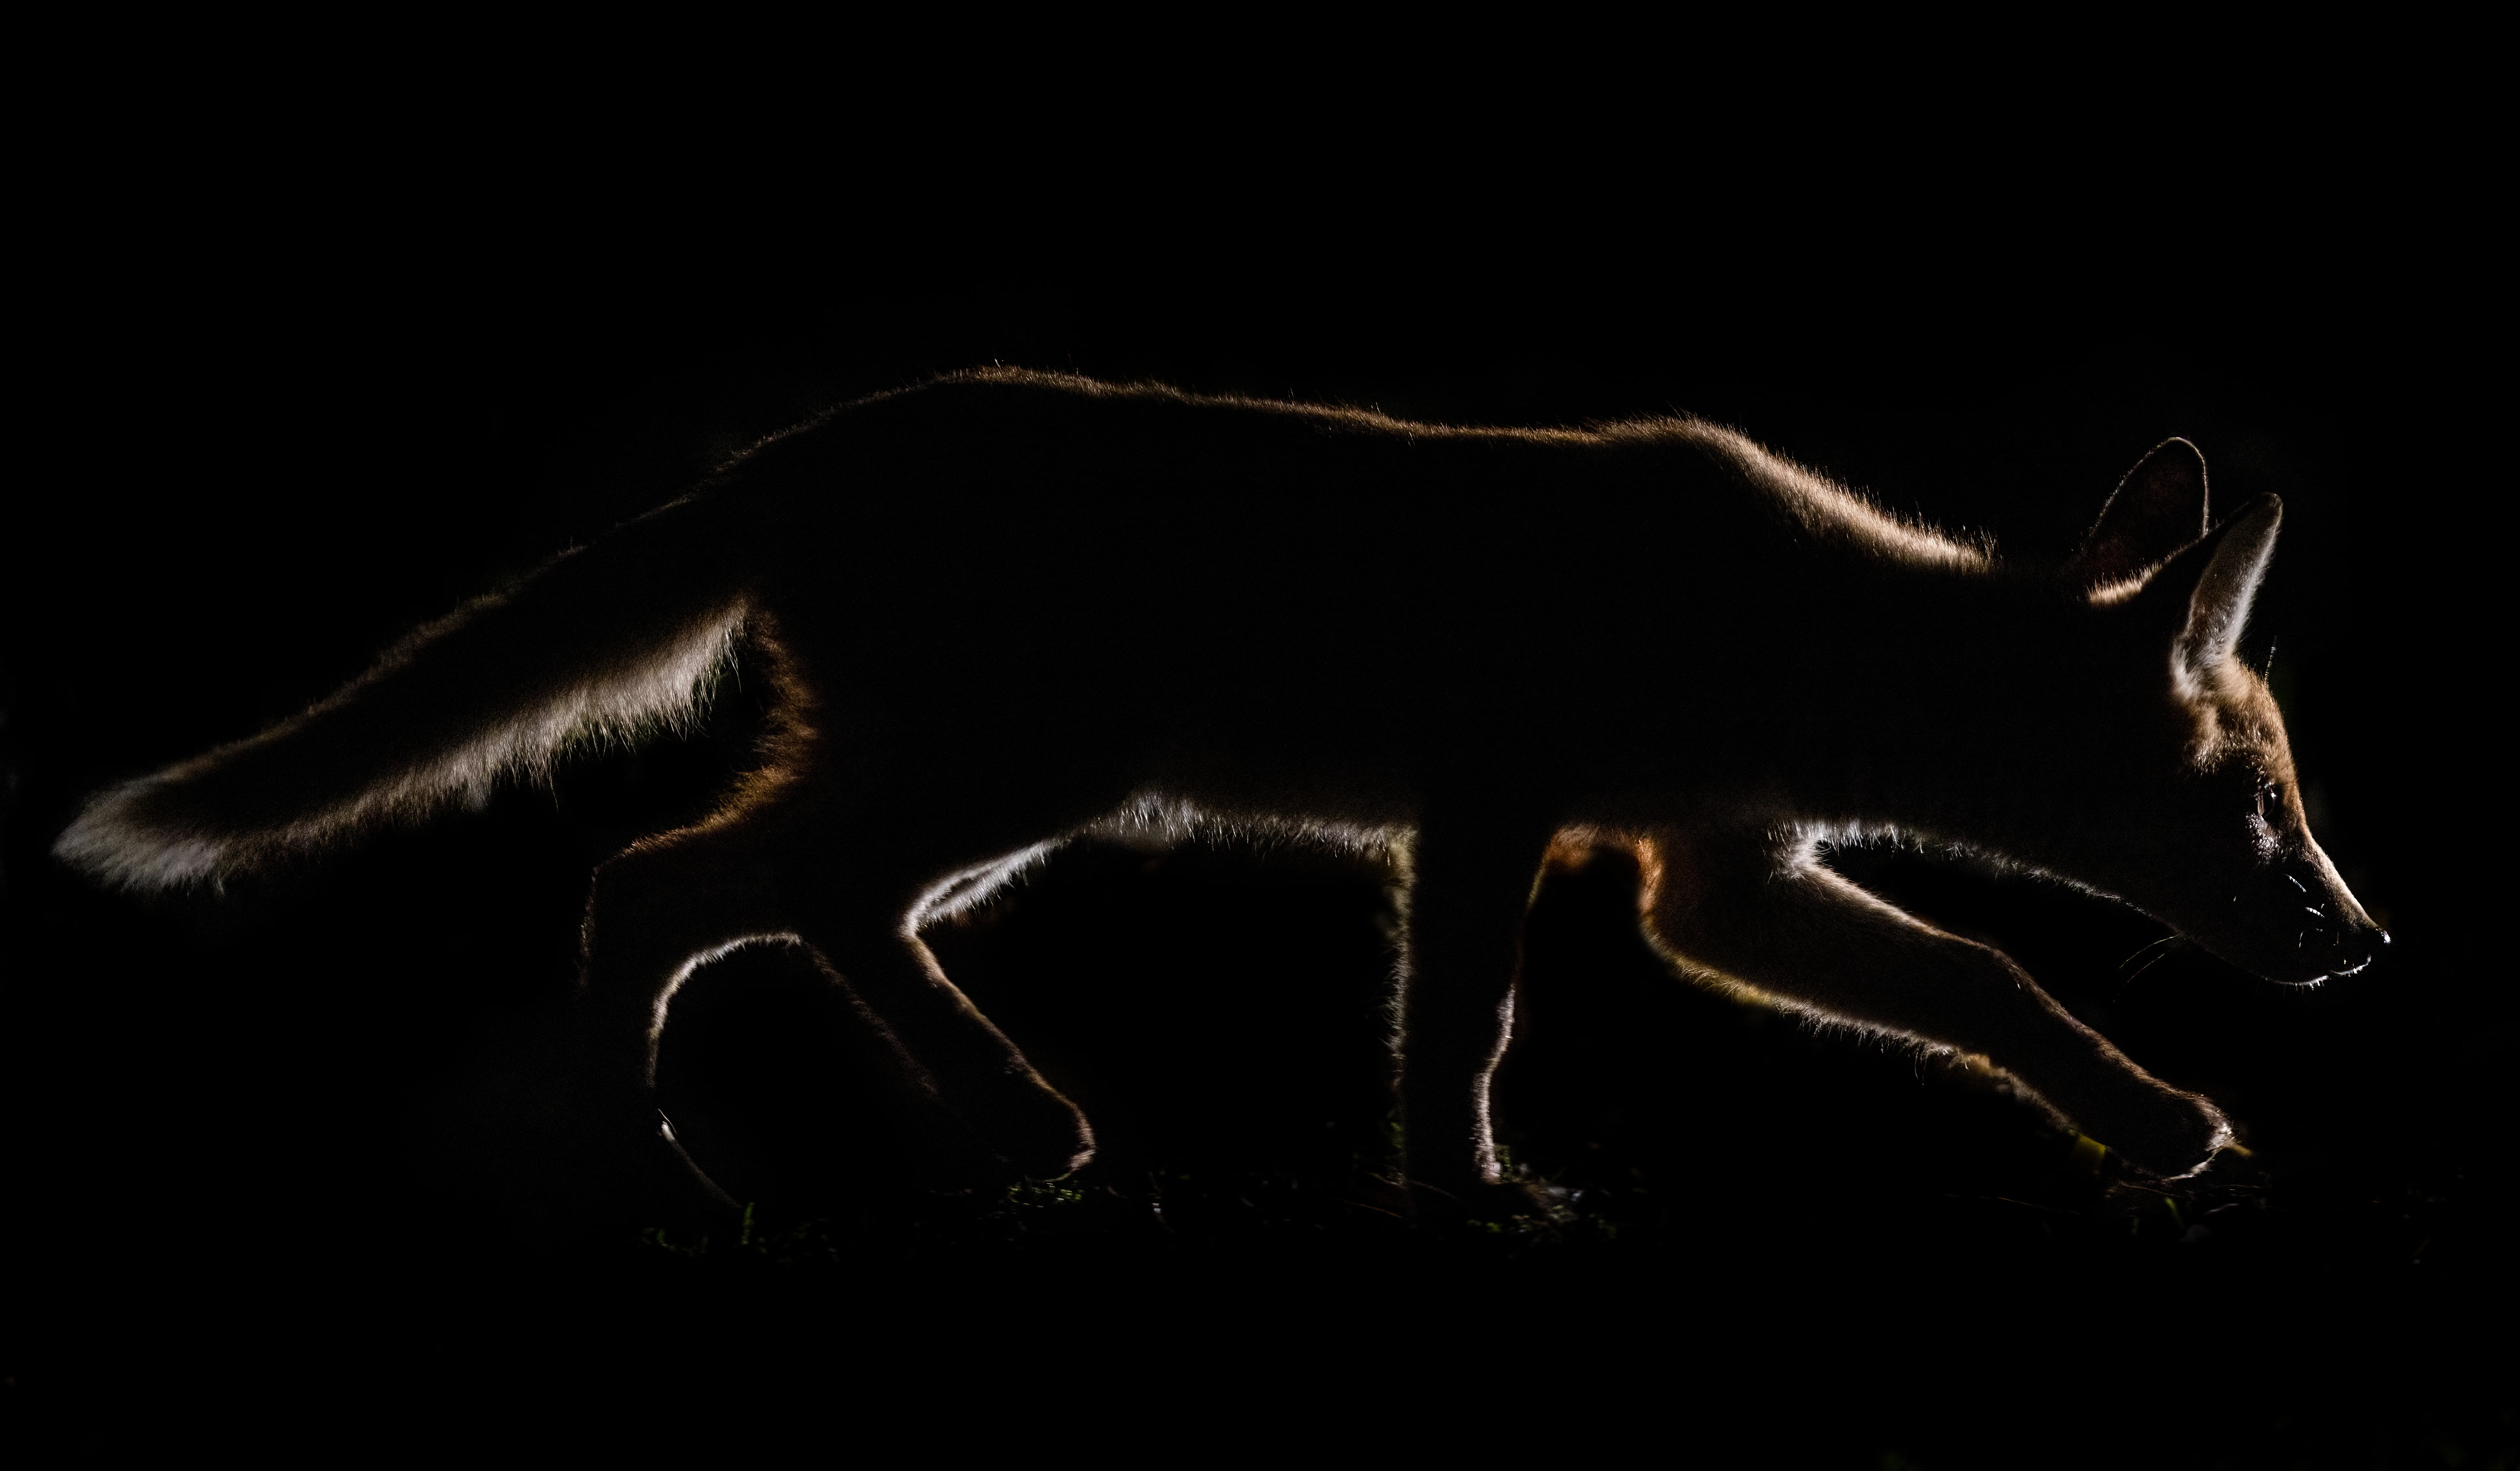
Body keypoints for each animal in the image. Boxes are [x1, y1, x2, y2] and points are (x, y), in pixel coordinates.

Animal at [55, 368, 2386, 1216]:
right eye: (2263, 814)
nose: (2361, 941)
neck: (1792, 622)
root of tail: (796, 449)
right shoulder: (1498, 808)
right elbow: (1456, 1021)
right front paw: (1463, 1193)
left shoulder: (1701, 871)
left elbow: (1987, 982)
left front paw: (2150, 1122)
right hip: (1011, 772)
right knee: (658, 880)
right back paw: (685, 1176)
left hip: (1005, 807)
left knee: (771, 898)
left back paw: (986, 1130)